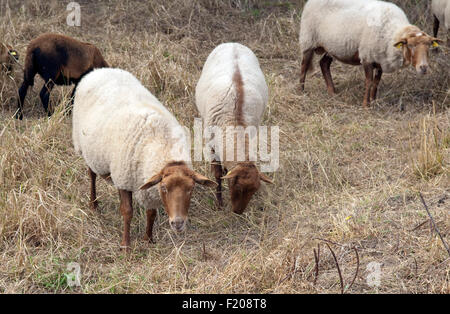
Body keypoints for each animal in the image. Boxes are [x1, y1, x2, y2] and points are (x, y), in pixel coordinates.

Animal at [73, 68, 217, 248]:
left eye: (191, 189)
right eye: (164, 188)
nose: (178, 223)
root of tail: (100, 70)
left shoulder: (148, 186)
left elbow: (151, 213)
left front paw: (148, 239)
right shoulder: (124, 177)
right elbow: (127, 212)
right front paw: (126, 245)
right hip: (86, 148)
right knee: (91, 174)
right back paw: (93, 204)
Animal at [195, 43, 272, 215]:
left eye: (254, 191)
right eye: (237, 187)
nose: (238, 212)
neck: (234, 120)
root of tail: (233, 44)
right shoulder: (211, 143)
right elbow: (217, 175)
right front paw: (219, 203)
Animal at [298, 0, 442, 106]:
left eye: (429, 47)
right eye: (410, 46)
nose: (423, 67)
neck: (392, 33)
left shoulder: (381, 60)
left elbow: (376, 82)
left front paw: (373, 100)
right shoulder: (367, 57)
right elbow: (369, 81)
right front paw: (365, 105)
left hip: (332, 47)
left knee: (324, 63)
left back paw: (332, 92)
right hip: (308, 39)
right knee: (304, 66)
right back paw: (301, 90)